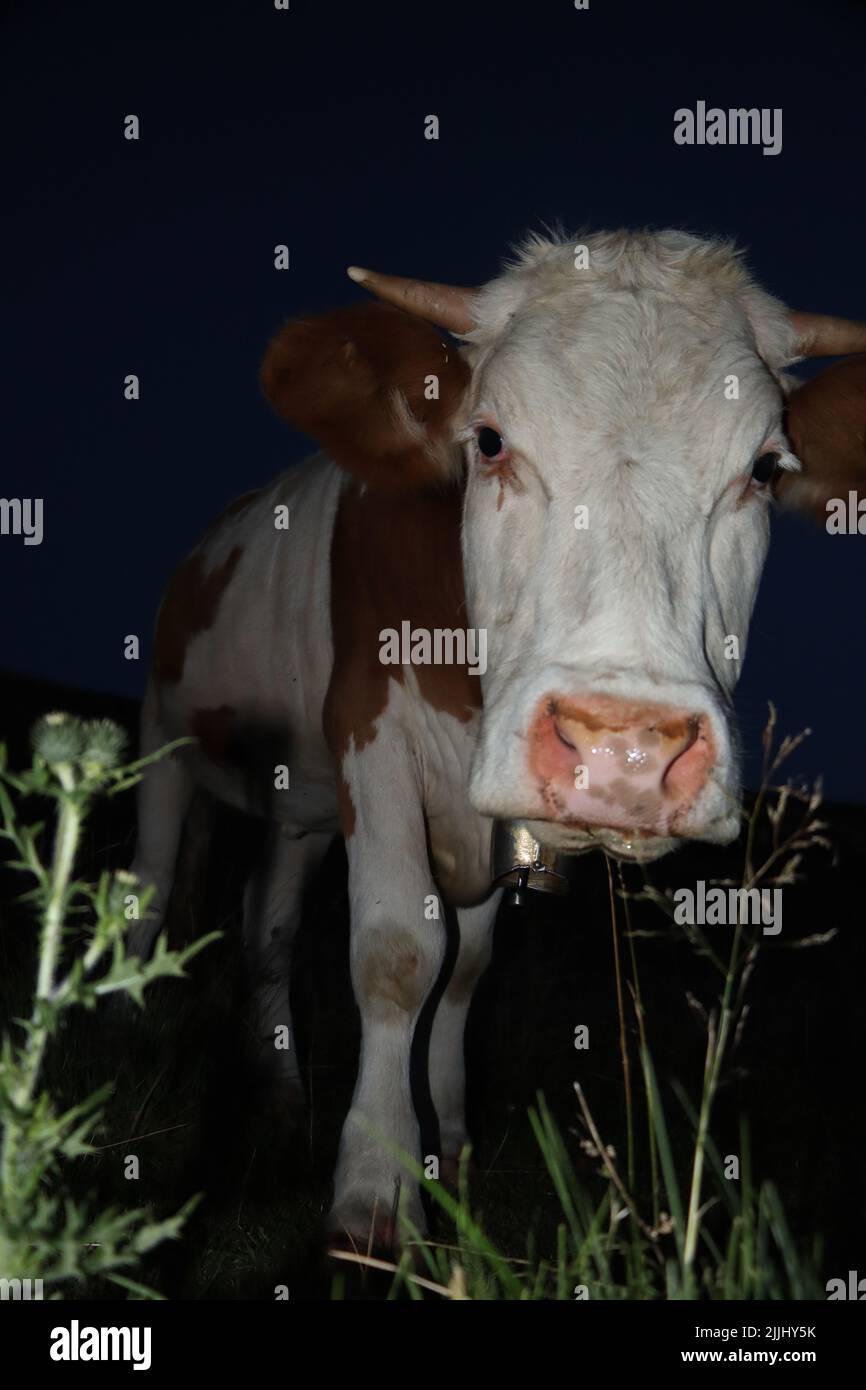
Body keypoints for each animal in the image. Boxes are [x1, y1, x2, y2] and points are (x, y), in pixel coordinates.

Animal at [128, 227, 866, 1251]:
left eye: (763, 469)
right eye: (488, 440)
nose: (625, 751)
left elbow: (464, 970)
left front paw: (449, 1143)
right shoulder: (371, 732)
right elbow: (399, 952)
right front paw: (374, 1188)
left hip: (296, 808)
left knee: (266, 925)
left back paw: (277, 1089)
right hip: (163, 734)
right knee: (152, 890)